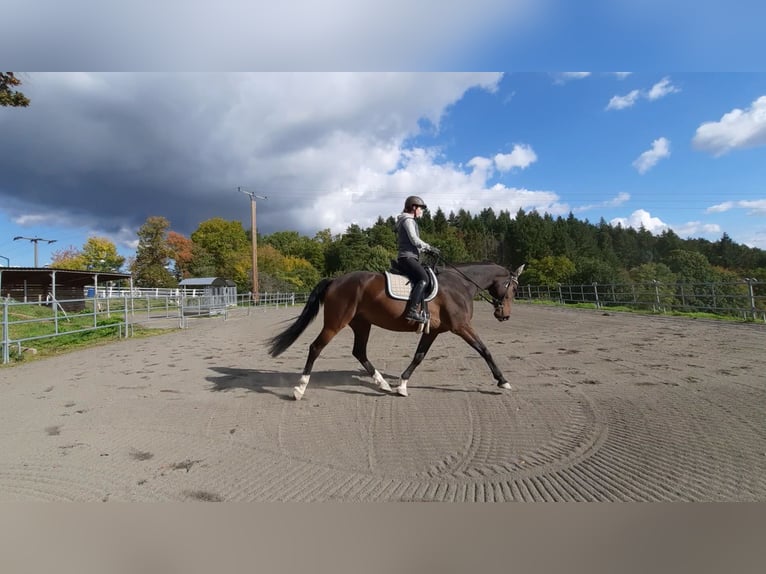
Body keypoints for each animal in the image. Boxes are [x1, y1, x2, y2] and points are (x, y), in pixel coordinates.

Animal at [267, 261, 525, 400]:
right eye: (513, 288)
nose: (504, 315)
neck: (460, 286)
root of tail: (335, 280)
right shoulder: (461, 327)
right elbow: (484, 350)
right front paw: (503, 381)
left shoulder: (433, 332)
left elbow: (419, 356)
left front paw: (401, 385)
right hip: (335, 323)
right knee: (316, 347)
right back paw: (299, 389)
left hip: (362, 324)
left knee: (359, 352)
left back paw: (382, 384)